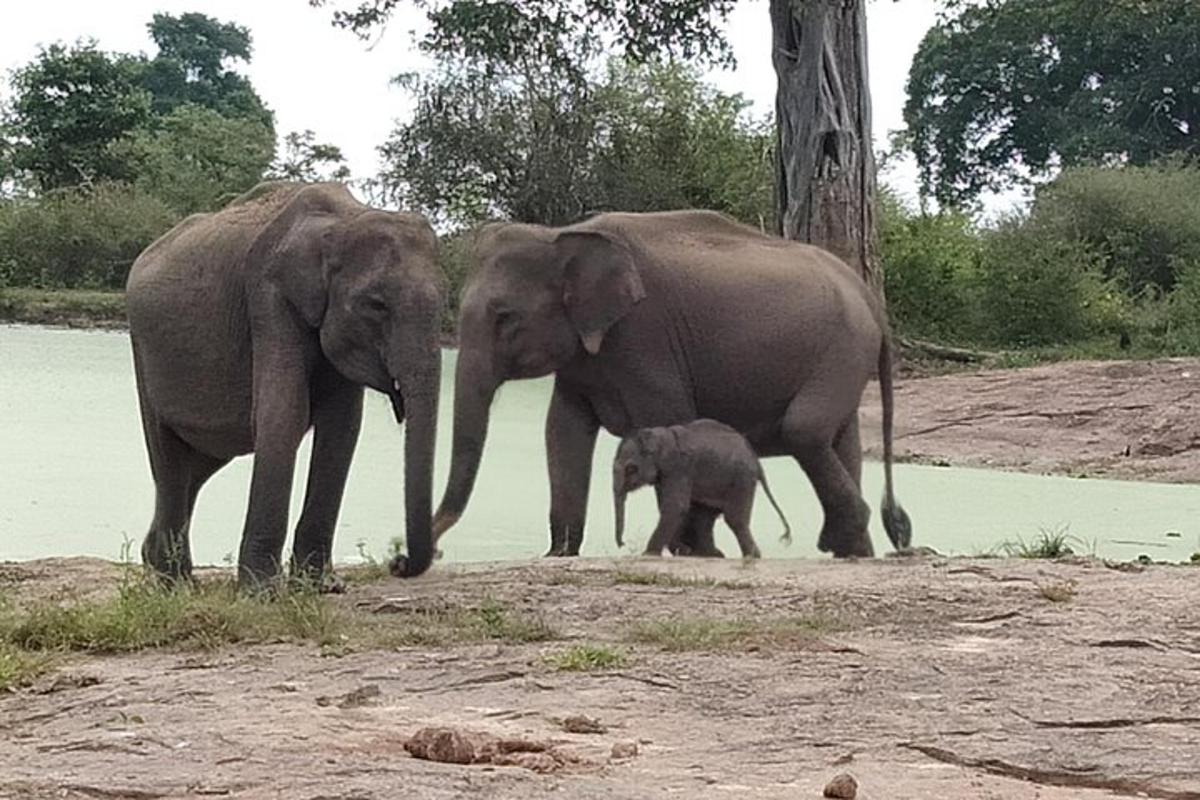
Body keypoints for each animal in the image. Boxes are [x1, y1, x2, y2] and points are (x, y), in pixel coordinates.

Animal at [125, 184, 441, 592]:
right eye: (376, 305)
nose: (397, 563)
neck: (344, 218)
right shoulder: (268, 295)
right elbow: (284, 413)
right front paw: (263, 592)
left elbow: (342, 429)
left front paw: (322, 587)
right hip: (143, 348)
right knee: (169, 458)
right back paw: (175, 584)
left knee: (200, 463)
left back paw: (157, 563)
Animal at [614, 422, 792, 561]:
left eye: (631, 469)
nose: (622, 544)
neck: (661, 436)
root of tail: (757, 461)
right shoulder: (664, 474)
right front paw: (684, 550)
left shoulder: (678, 468)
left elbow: (676, 507)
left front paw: (648, 555)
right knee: (704, 518)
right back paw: (714, 555)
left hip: (741, 480)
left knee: (733, 519)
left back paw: (750, 556)